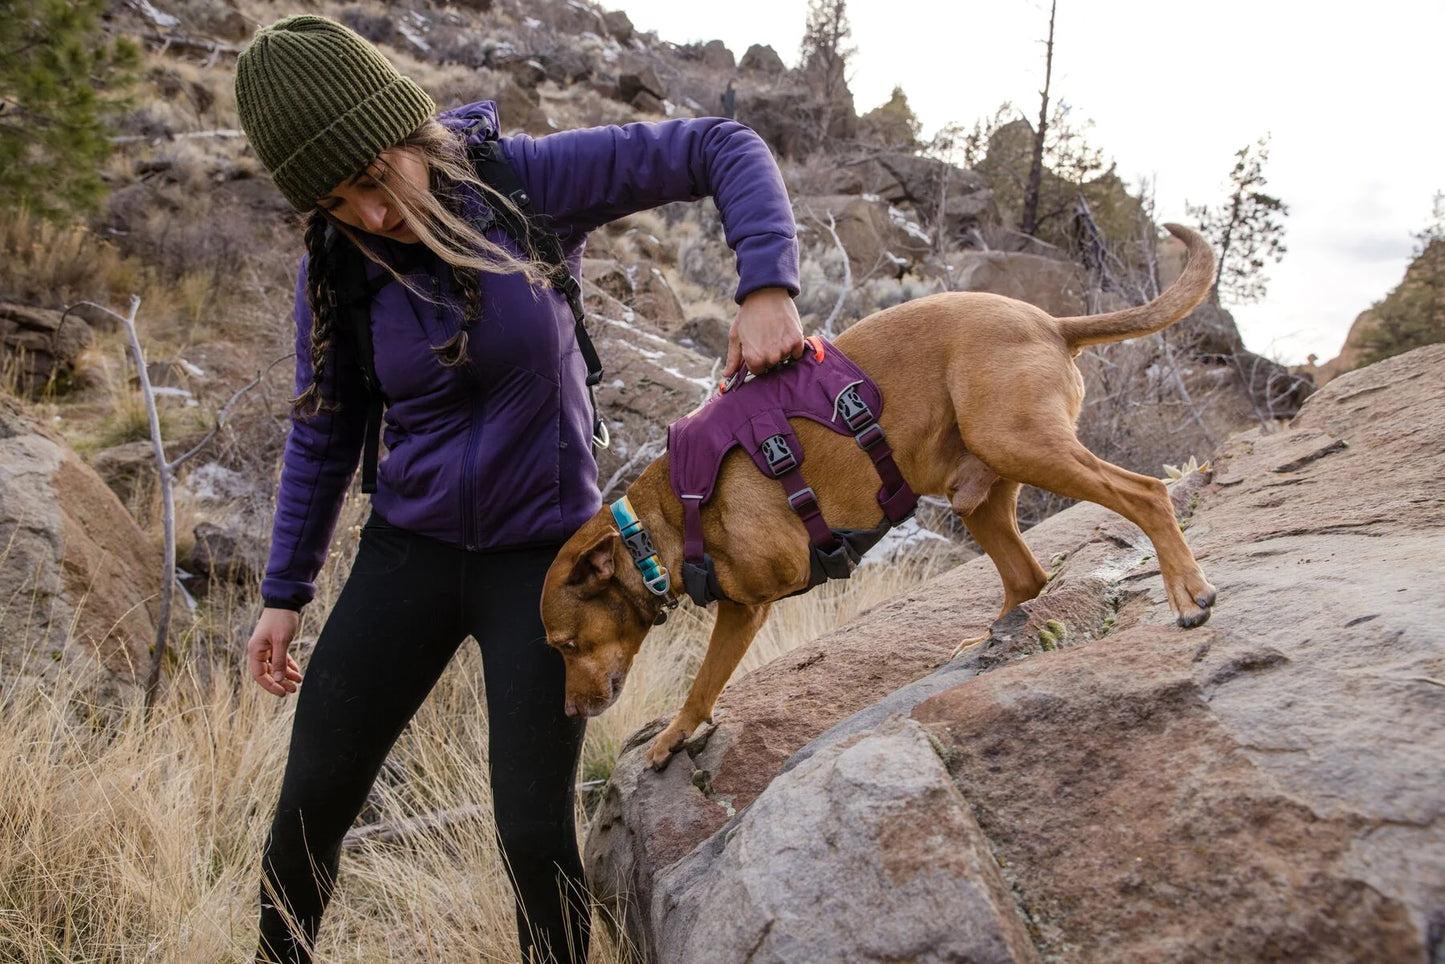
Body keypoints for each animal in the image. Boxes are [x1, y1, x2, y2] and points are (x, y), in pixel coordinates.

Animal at [543, 222, 1219, 763]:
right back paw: (986, 638)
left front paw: (673, 735)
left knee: (1146, 493)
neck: (655, 524)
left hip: (1018, 443)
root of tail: (1050, 322)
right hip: (981, 495)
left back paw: (1187, 593)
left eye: (568, 644)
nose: (571, 713)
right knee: (1027, 577)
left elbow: (705, 681)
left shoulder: (746, 607)